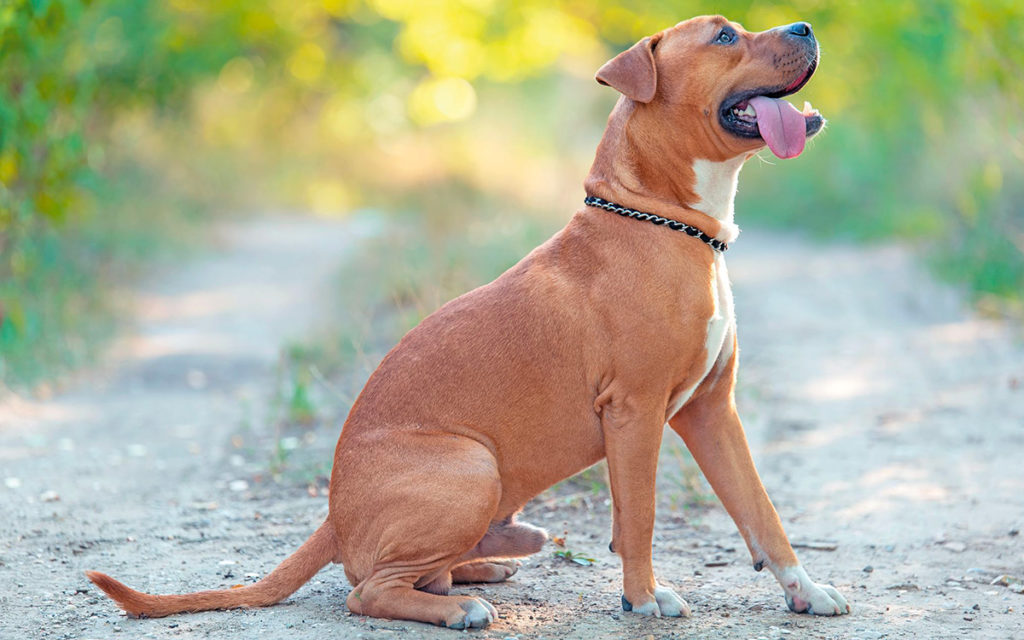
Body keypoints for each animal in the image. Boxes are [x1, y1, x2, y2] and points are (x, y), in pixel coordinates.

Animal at [88, 14, 851, 630]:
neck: (666, 222)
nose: (807, 24)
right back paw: (461, 607)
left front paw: (806, 591)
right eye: (724, 36)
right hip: (470, 465)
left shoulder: (712, 411)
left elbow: (762, 514)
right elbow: (640, 519)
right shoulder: (637, 413)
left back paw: (484, 565)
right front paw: (642, 598)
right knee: (368, 589)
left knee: (408, 571)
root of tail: (334, 515)